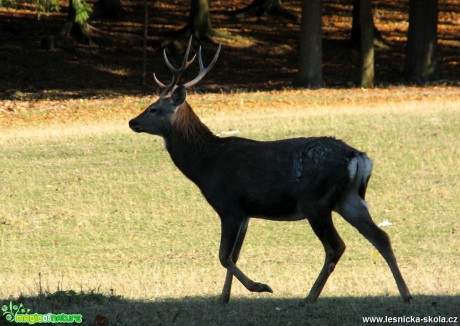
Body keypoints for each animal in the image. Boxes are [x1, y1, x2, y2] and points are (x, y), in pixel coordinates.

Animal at [127, 38, 412, 306]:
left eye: (153, 108)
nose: (132, 122)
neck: (205, 166)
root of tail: (358, 157)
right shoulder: (246, 212)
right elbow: (234, 255)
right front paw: (223, 298)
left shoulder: (229, 205)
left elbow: (223, 256)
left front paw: (260, 287)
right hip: (348, 199)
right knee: (381, 237)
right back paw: (406, 294)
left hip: (315, 201)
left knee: (336, 246)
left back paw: (309, 297)